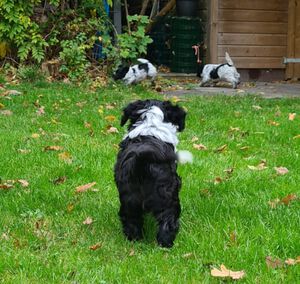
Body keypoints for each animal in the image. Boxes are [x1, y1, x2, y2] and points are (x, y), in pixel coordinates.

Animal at [113, 100, 191, 248]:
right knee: (168, 221)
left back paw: (135, 240)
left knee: (131, 220)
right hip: (168, 196)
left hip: (129, 198)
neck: (150, 123)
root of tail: (143, 159)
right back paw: (166, 244)